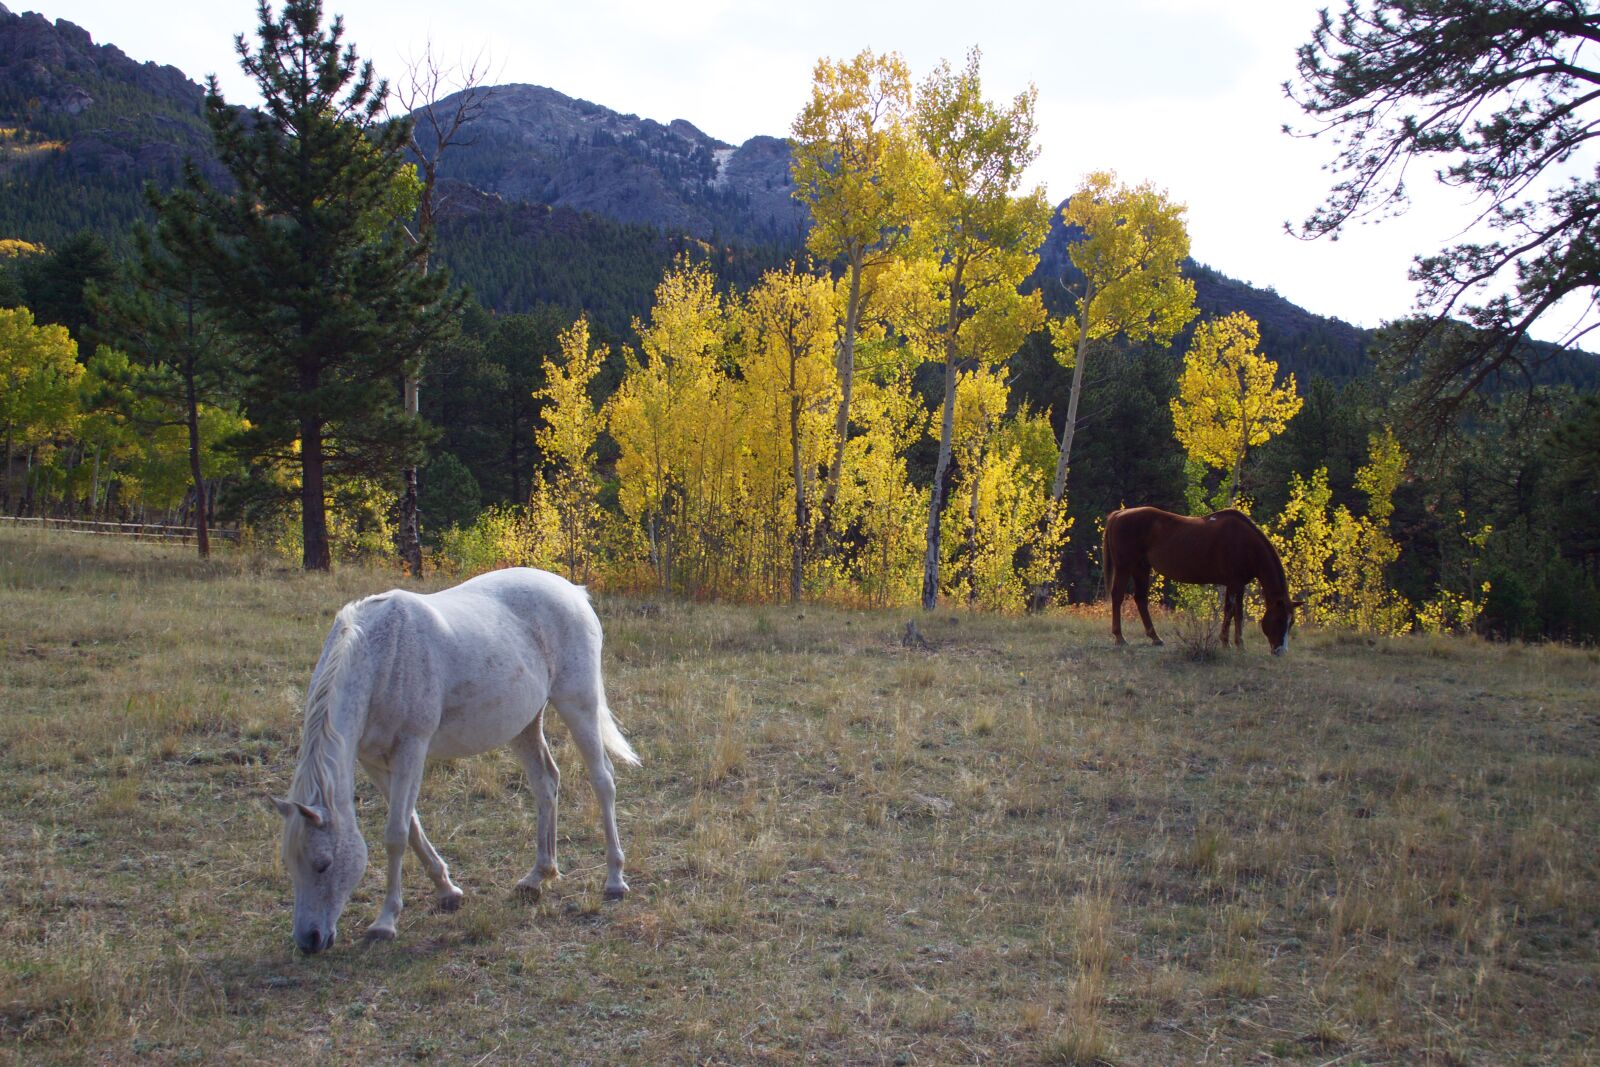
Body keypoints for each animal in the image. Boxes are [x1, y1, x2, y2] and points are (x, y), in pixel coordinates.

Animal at [268, 567, 639, 954]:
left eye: (322, 865)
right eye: (289, 863)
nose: (309, 941)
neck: (381, 656)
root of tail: (574, 592)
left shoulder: (411, 749)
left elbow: (396, 833)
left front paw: (385, 921)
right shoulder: (373, 760)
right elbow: (412, 826)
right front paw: (447, 891)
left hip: (577, 704)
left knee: (603, 780)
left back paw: (614, 879)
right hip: (523, 724)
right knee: (546, 782)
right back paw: (538, 876)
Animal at [1102, 506, 1302, 654]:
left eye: (1291, 622)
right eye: (1279, 620)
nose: (1280, 651)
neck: (1245, 543)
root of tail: (1118, 514)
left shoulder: (1240, 585)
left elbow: (1239, 613)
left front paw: (1240, 644)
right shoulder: (1233, 583)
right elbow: (1230, 610)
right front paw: (1226, 642)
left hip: (1141, 568)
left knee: (1141, 599)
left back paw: (1155, 638)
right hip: (1125, 567)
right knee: (1118, 596)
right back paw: (1120, 638)